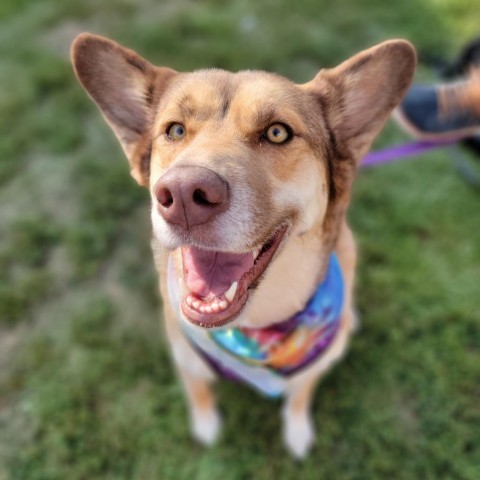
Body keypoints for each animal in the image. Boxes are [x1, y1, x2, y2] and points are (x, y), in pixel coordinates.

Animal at [71, 33, 416, 458]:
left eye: (278, 133)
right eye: (175, 131)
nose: (182, 195)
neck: (256, 325)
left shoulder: (310, 370)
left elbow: (300, 395)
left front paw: (297, 431)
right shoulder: (185, 357)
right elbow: (199, 392)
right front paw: (205, 426)